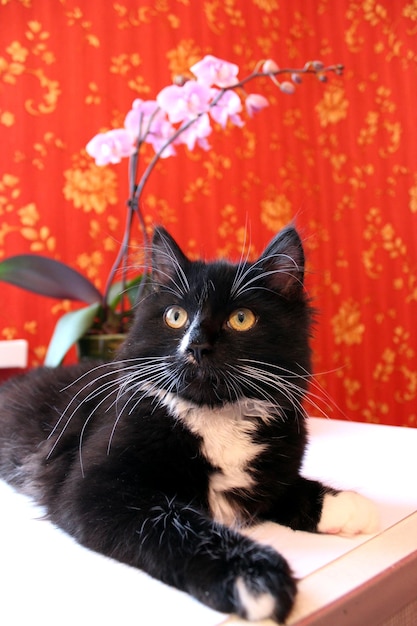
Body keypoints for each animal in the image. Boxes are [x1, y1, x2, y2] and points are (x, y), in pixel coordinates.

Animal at [0, 227, 376, 620]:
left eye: (241, 319)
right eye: (175, 316)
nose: (195, 345)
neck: (214, 416)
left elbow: (281, 485)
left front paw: (340, 502)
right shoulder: (95, 486)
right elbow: (176, 524)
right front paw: (253, 574)